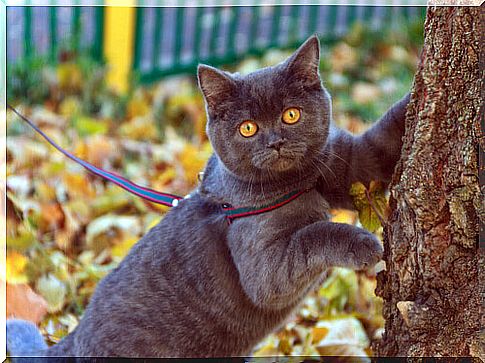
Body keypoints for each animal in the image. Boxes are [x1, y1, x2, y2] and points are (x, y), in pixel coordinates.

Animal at [6, 35, 408, 360]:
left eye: (291, 115)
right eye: (248, 128)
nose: (275, 141)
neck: (303, 182)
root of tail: (70, 340)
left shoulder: (347, 162)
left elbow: (379, 147)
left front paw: (412, 101)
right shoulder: (263, 267)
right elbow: (309, 238)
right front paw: (363, 244)